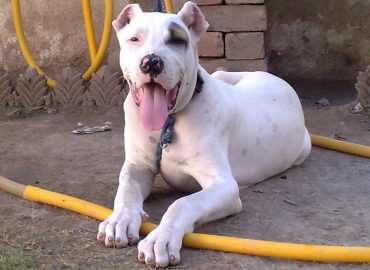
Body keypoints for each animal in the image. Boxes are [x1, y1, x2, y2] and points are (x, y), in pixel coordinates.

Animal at [97, 1, 310, 268]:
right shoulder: (137, 167)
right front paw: (119, 220)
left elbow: (183, 203)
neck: (169, 123)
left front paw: (161, 238)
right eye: (134, 39)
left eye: (177, 40)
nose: (151, 62)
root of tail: (276, 79)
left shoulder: (225, 186)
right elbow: (126, 190)